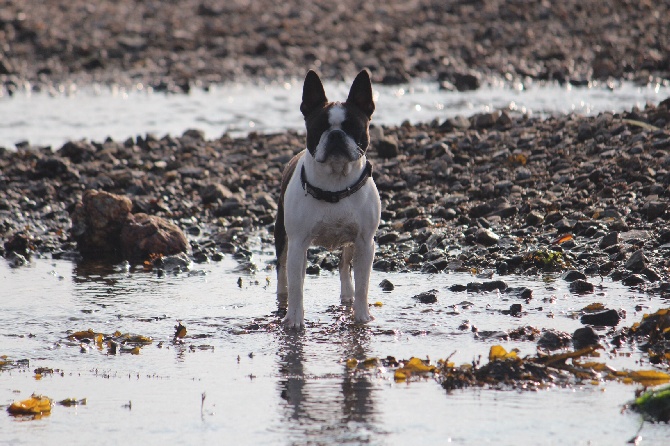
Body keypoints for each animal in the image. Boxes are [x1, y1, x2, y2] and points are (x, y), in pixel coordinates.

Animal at [274, 69, 380, 328]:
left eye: (353, 127)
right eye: (319, 127)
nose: (336, 134)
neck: (335, 183)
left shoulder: (365, 243)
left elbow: (363, 284)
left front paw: (362, 317)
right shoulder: (298, 242)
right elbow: (296, 285)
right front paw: (294, 320)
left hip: (352, 244)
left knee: (344, 266)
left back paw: (347, 297)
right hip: (283, 235)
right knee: (283, 269)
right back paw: (282, 300)